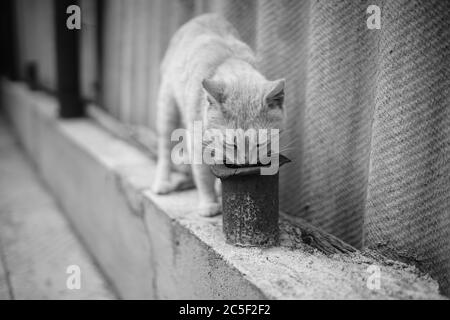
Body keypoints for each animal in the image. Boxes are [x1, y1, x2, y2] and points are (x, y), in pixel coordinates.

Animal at [151, 13, 284, 218]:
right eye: (232, 143)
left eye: (260, 143)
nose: (245, 164)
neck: (229, 60)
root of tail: (202, 16)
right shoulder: (197, 143)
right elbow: (204, 175)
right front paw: (209, 204)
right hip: (167, 107)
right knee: (165, 150)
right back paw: (162, 183)